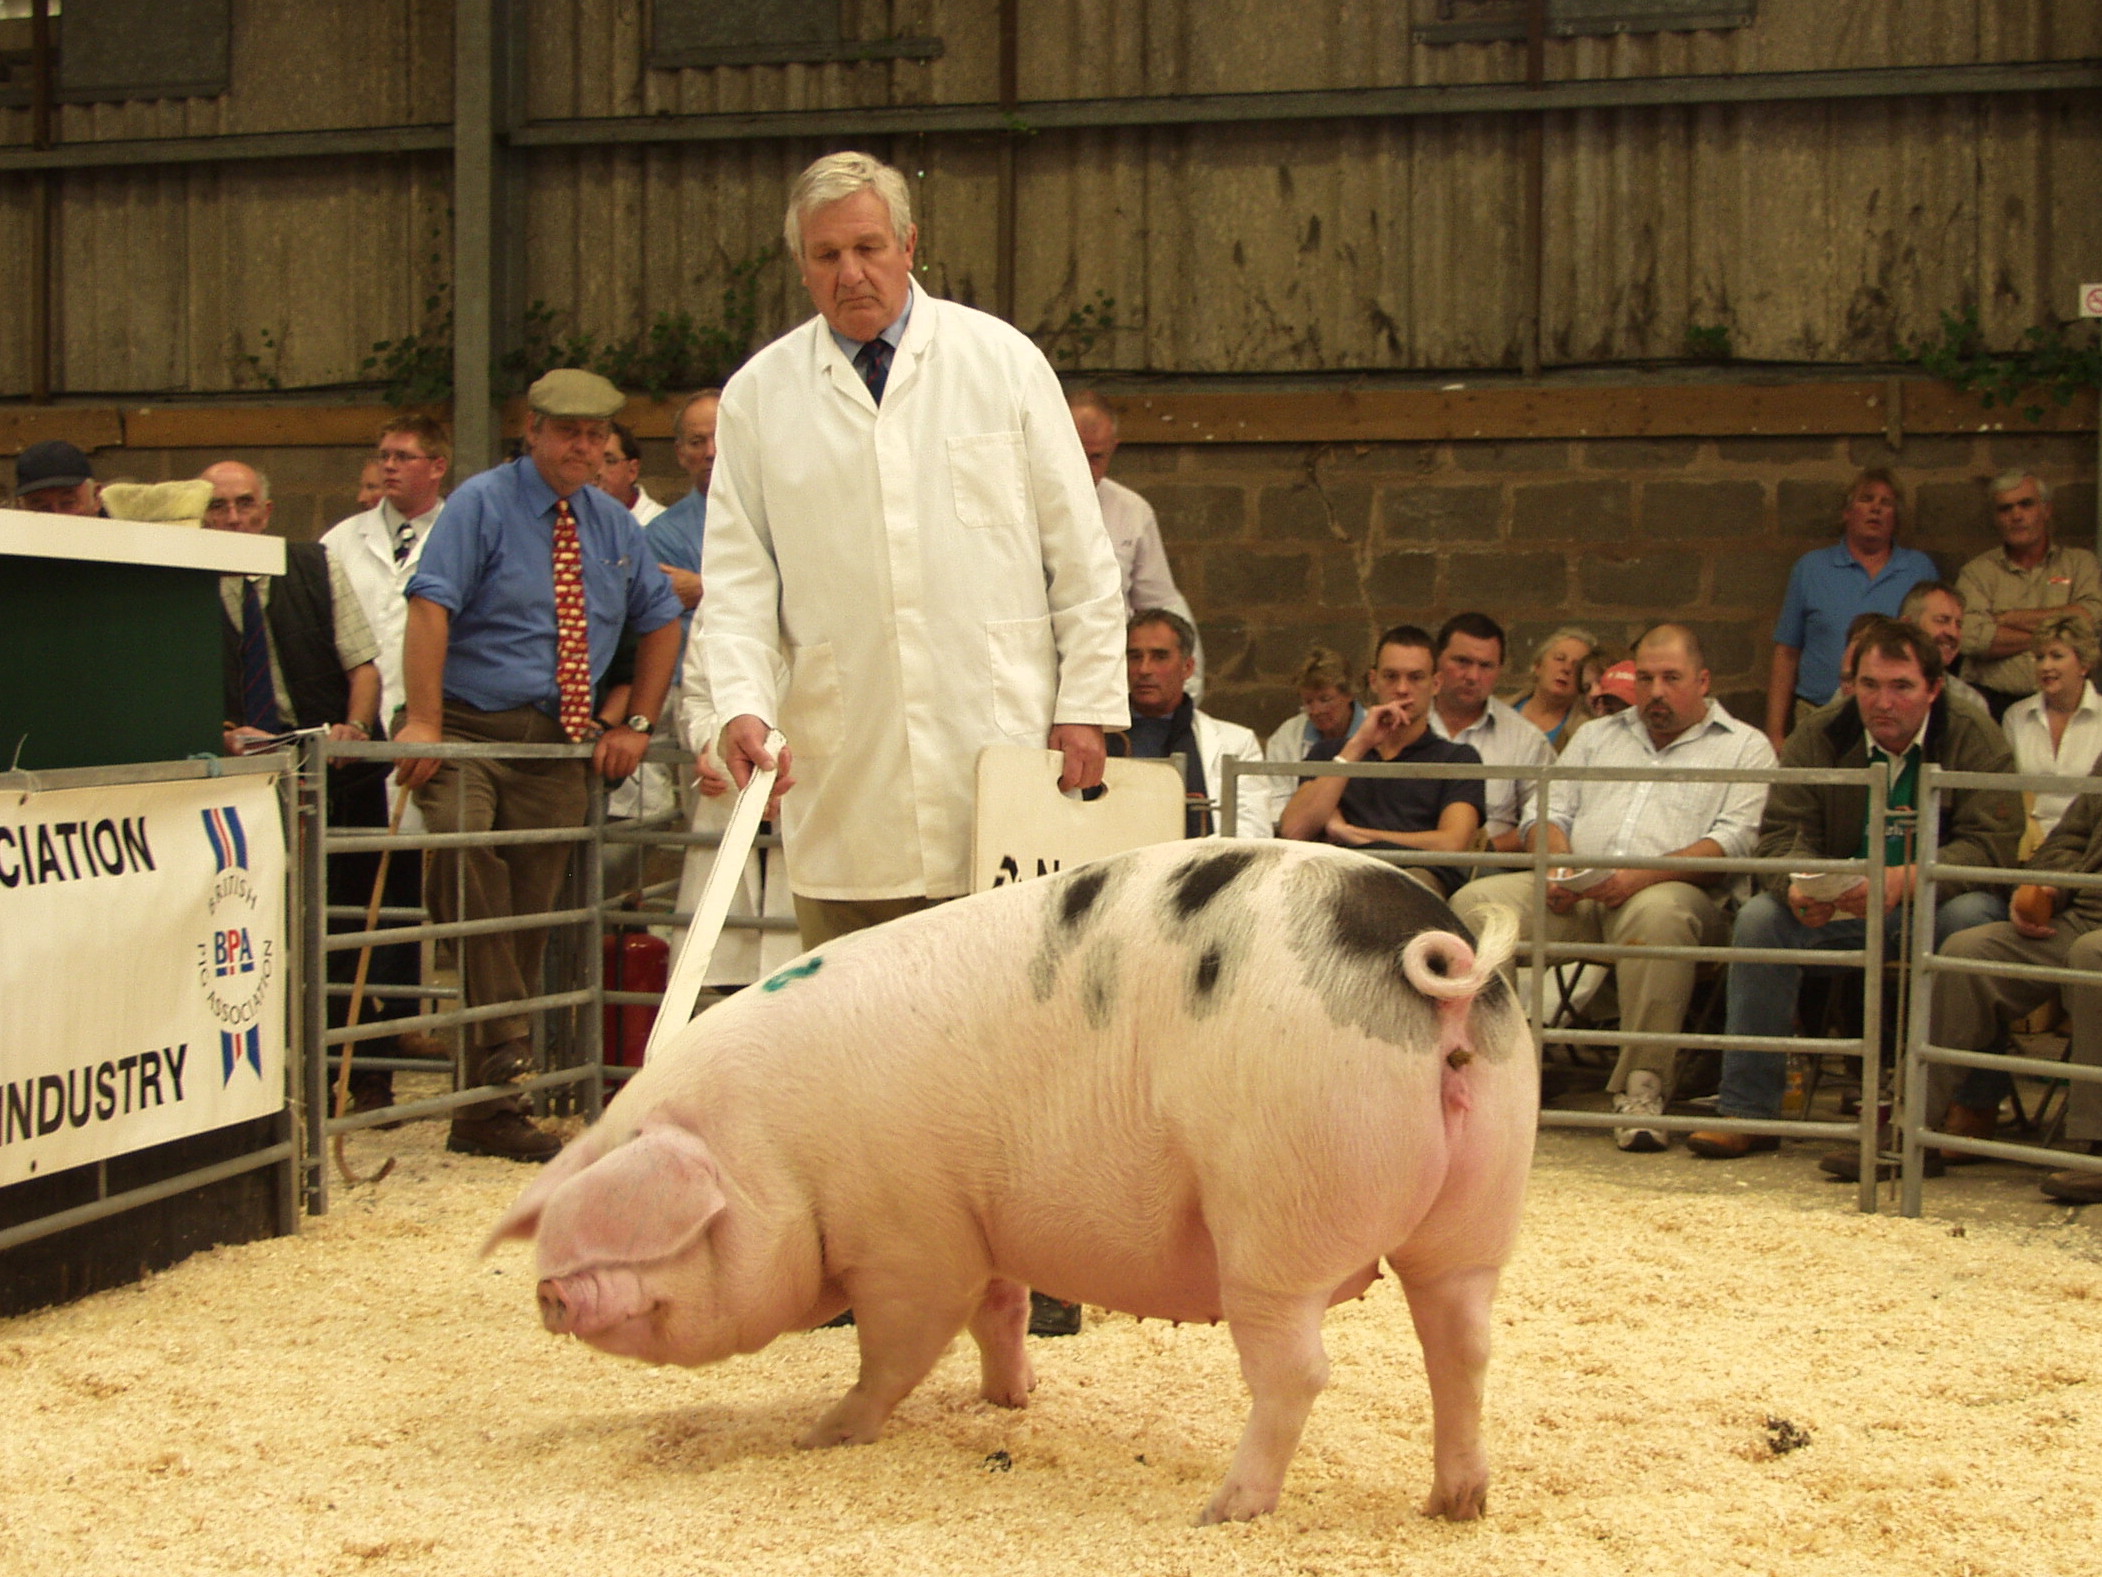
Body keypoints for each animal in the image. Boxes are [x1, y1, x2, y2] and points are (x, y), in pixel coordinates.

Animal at [486, 839, 1534, 1525]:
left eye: (646, 1220)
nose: (549, 1292)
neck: (778, 1151)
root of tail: (1442, 957)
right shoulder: (983, 1222)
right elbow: (1004, 1310)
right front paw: (1009, 1401)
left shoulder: (913, 1237)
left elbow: (898, 1349)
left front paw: (825, 1433)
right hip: (1476, 1218)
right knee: (1465, 1346)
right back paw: (1457, 1504)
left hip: (1276, 1217)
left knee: (1300, 1369)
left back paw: (1225, 1510)